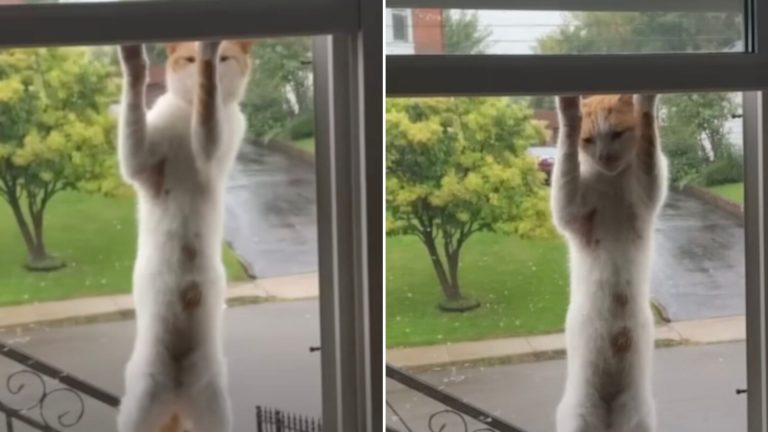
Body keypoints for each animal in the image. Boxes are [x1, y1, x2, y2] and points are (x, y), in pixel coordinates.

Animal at [115, 39, 252, 432]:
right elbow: (134, 116)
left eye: (227, 59)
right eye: (185, 60)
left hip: (215, 409)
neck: (185, 117)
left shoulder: (214, 147)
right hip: (140, 401)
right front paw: (133, 60)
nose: (201, 64)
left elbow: (209, 113)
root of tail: (176, 400)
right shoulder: (140, 163)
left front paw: (210, 61)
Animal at [552, 94, 664, 432]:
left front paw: (647, 102)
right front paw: (568, 112)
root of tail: (610, 415)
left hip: (639, 417)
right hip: (578, 415)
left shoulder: (647, 191)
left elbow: (648, 151)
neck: (610, 181)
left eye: (616, 133)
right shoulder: (571, 211)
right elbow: (566, 168)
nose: (603, 155)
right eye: (588, 140)